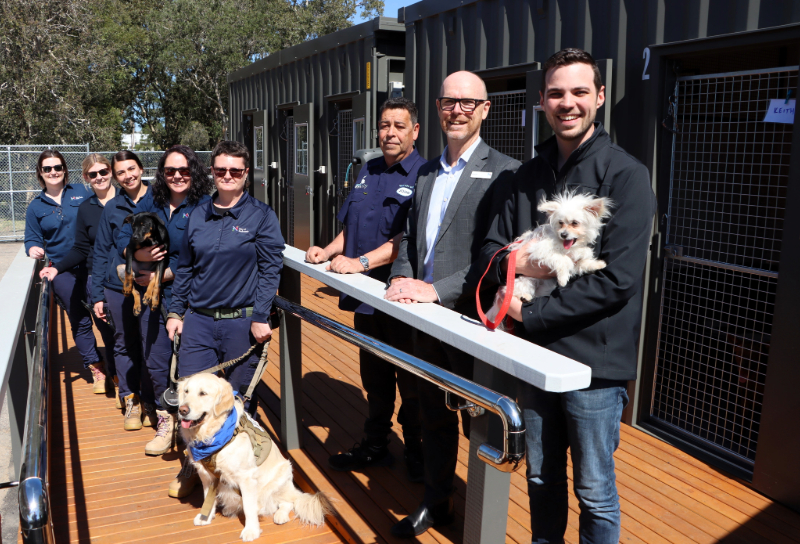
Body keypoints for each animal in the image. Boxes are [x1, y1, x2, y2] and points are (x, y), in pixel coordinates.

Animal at [179, 372, 332, 540]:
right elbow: (208, 497)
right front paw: (205, 517)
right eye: (186, 391)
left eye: (203, 393)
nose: (182, 410)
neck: (213, 435)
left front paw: (251, 530)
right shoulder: (207, 475)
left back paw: (280, 515)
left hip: (277, 480)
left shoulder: (246, 478)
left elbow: (249, 508)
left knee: (288, 501)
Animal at [488, 191, 612, 324]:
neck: (567, 246)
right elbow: (563, 259)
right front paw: (563, 278)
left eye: (575, 223)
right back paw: (524, 297)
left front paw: (597, 264)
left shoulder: (574, 260)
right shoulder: (540, 249)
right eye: (560, 222)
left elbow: (581, 263)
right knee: (513, 291)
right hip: (524, 281)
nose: (563, 234)